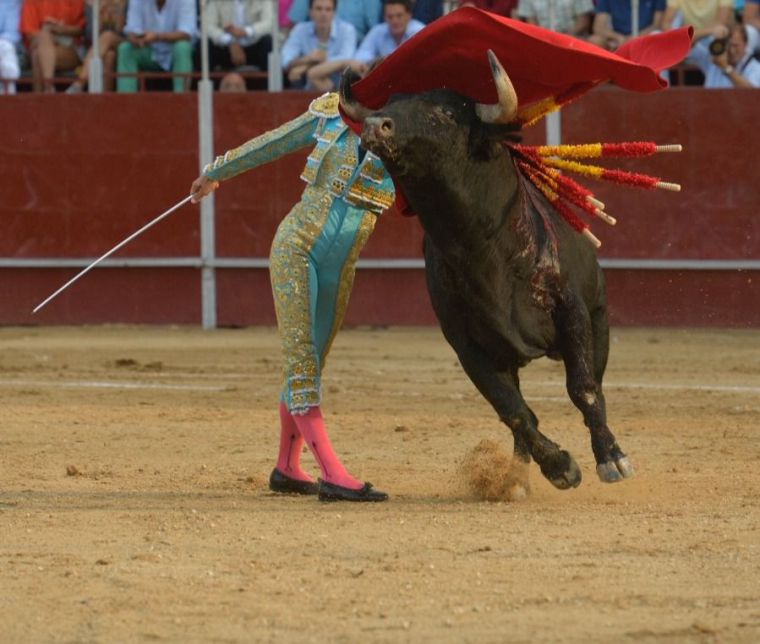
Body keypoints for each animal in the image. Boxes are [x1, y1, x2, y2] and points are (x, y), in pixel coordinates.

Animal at [340, 55, 636, 498]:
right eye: (391, 101)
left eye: (446, 113)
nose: (376, 125)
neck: (479, 243)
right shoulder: (468, 345)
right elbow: (512, 410)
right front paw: (559, 467)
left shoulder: (573, 310)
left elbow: (582, 388)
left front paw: (611, 460)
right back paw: (515, 478)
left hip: (599, 319)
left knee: (594, 386)